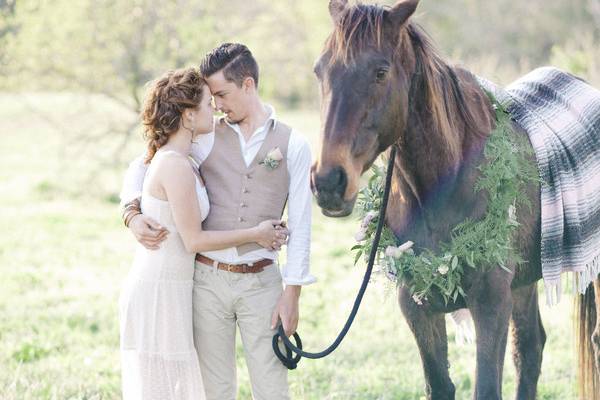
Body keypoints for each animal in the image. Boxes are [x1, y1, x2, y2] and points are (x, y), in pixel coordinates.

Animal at [310, 0, 600, 400]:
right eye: (320, 70)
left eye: (381, 72)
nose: (328, 182)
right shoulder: (418, 307)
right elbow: (440, 385)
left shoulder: (491, 304)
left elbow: (486, 387)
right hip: (525, 282)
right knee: (530, 349)